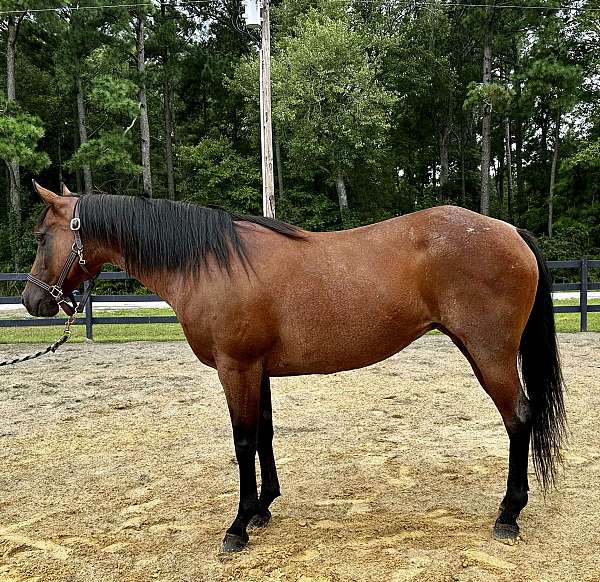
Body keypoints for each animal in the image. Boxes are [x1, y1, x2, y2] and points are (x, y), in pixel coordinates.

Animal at [23, 185, 564, 556]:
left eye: (43, 236)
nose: (32, 301)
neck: (211, 264)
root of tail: (509, 231)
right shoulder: (257, 370)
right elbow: (264, 433)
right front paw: (264, 508)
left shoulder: (235, 367)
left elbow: (243, 442)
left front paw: (238, 526)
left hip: (489, 354)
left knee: (519, 418)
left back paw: (509, 513)